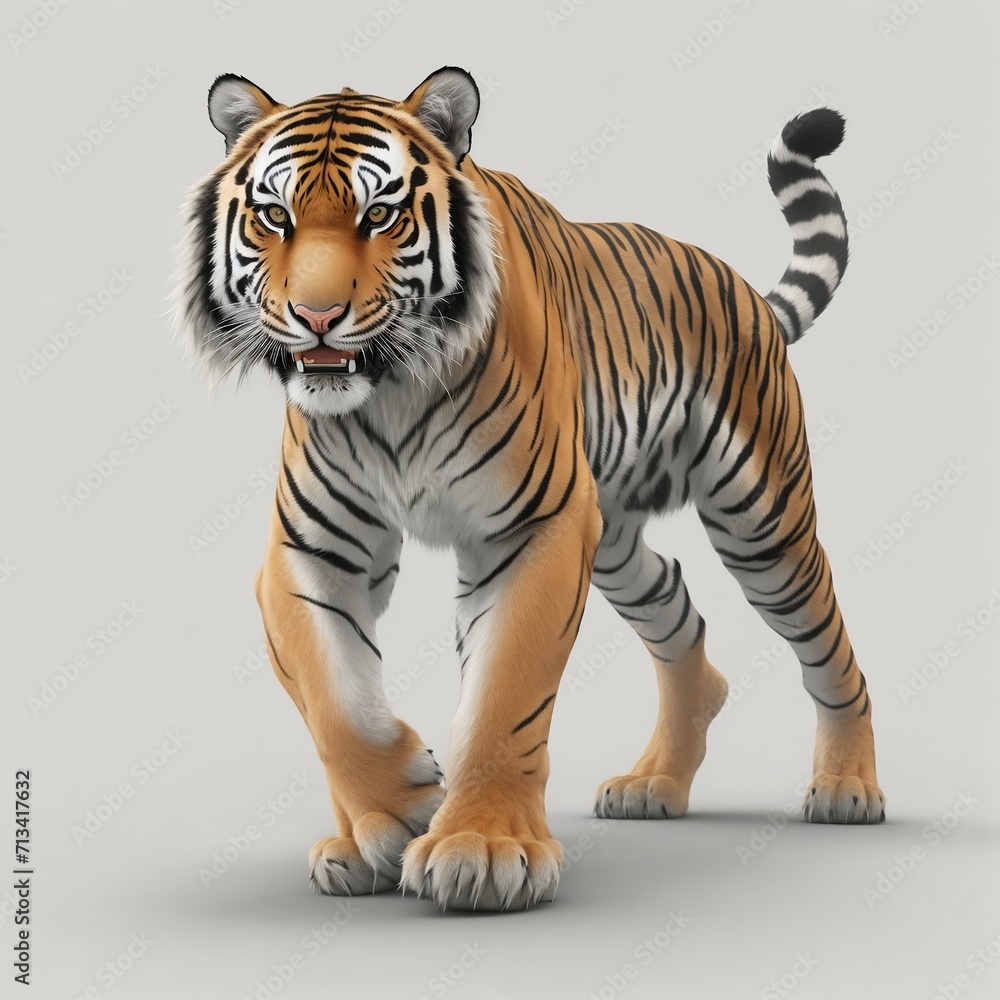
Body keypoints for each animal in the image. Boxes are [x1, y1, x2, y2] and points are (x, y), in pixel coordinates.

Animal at [175, 66, 885, 912]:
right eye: (274, 217)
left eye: (379, 214)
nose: (317, 317)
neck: (390, 392)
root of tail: (744, 290)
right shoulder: (311, 548)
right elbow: (334, 700)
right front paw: (387, 821)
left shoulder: (532, 532)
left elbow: (505, 697)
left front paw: (480, 847)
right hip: (616, 544)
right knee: (682, 618)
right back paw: (655, 783)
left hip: (761, 523)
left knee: (830, 645)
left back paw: (847, 788)